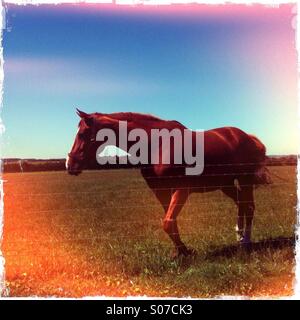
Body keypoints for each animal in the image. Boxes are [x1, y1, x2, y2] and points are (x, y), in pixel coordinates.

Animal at [66, 109, 270, 258]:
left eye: (83, 133)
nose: (70, 164)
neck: (157, 144)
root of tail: (247, 137)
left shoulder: (181, 189)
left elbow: (167, 222)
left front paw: (186, 251)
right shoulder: (161, 191)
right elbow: (171, 223)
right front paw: (180, 252)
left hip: (244, 180)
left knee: (248, 206)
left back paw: (245, 243)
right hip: (225, 184)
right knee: (241, 204)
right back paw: (239, 237)